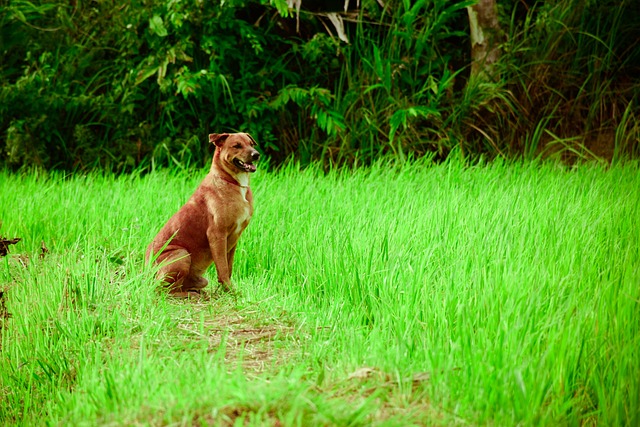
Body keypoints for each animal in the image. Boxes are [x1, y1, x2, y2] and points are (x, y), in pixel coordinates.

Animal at [147, 132, 260, 296]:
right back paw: (189, 295)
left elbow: (229, 267)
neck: (234, 182)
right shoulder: (217, 234)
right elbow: (223, 268)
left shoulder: (234, 238)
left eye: (251, 144)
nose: (256, 155)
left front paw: (226, 290)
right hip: (181, 254)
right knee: (164, 290)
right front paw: (231, 291)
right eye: (236, 145)